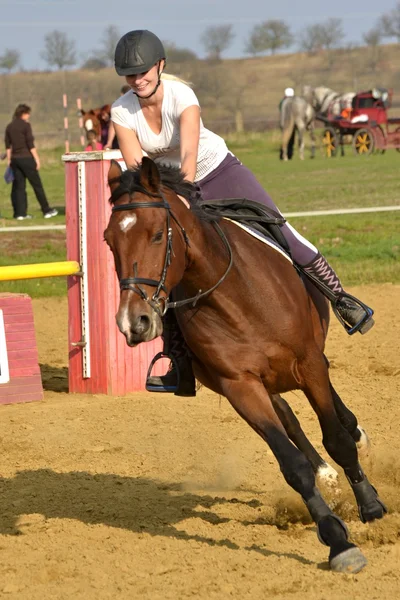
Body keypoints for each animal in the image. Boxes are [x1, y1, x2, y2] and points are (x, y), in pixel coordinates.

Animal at [104, 157, 386, 576]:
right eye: (109, 240)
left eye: (156, 235)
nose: (132, 322)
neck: (234, 295)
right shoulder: (240, 385)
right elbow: (292, 463)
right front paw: (337, 541)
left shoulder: (309, 364)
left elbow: (337, 439)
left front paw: (370, 504)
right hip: (266, 382)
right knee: (290, 418)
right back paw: (327, 475)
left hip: (309, 362)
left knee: (335, 415)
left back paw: (355, 437)